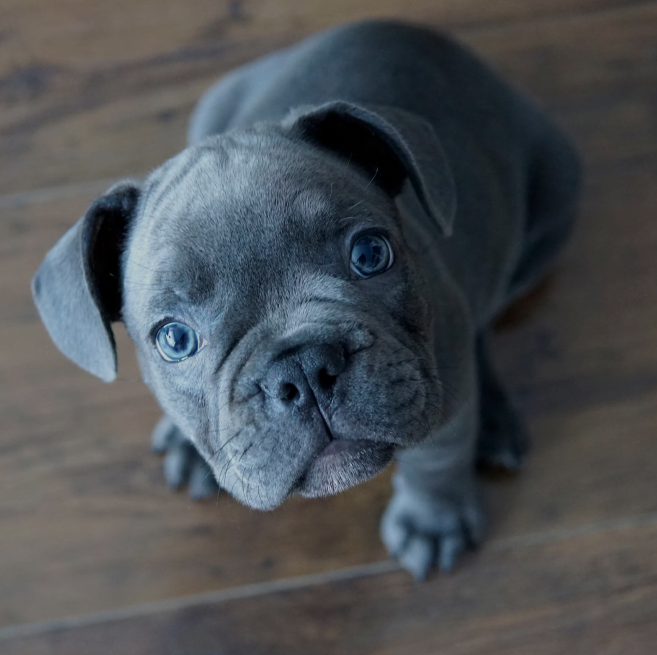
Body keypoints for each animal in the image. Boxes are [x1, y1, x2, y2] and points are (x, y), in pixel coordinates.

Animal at [32, 20, 580, 580]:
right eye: (175, 339)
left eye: (370, 254)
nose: (302, 368)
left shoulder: (443, 399)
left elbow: (436, 458)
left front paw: (431, 521)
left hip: (552, 209)